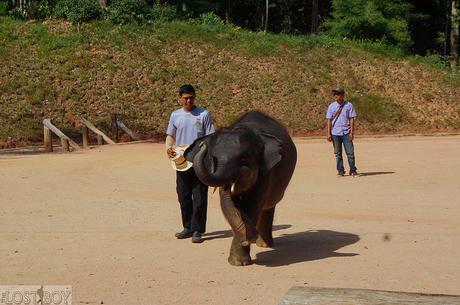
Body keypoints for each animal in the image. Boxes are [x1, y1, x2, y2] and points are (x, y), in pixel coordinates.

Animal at [184, 110, 298, 264]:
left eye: (243, 160)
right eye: (213, 158)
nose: (202, 145)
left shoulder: (266, 171)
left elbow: (252, 204)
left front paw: (245, 248)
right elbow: (228, 203)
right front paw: (241, 255)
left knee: (268, 206)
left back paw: (264, 244)